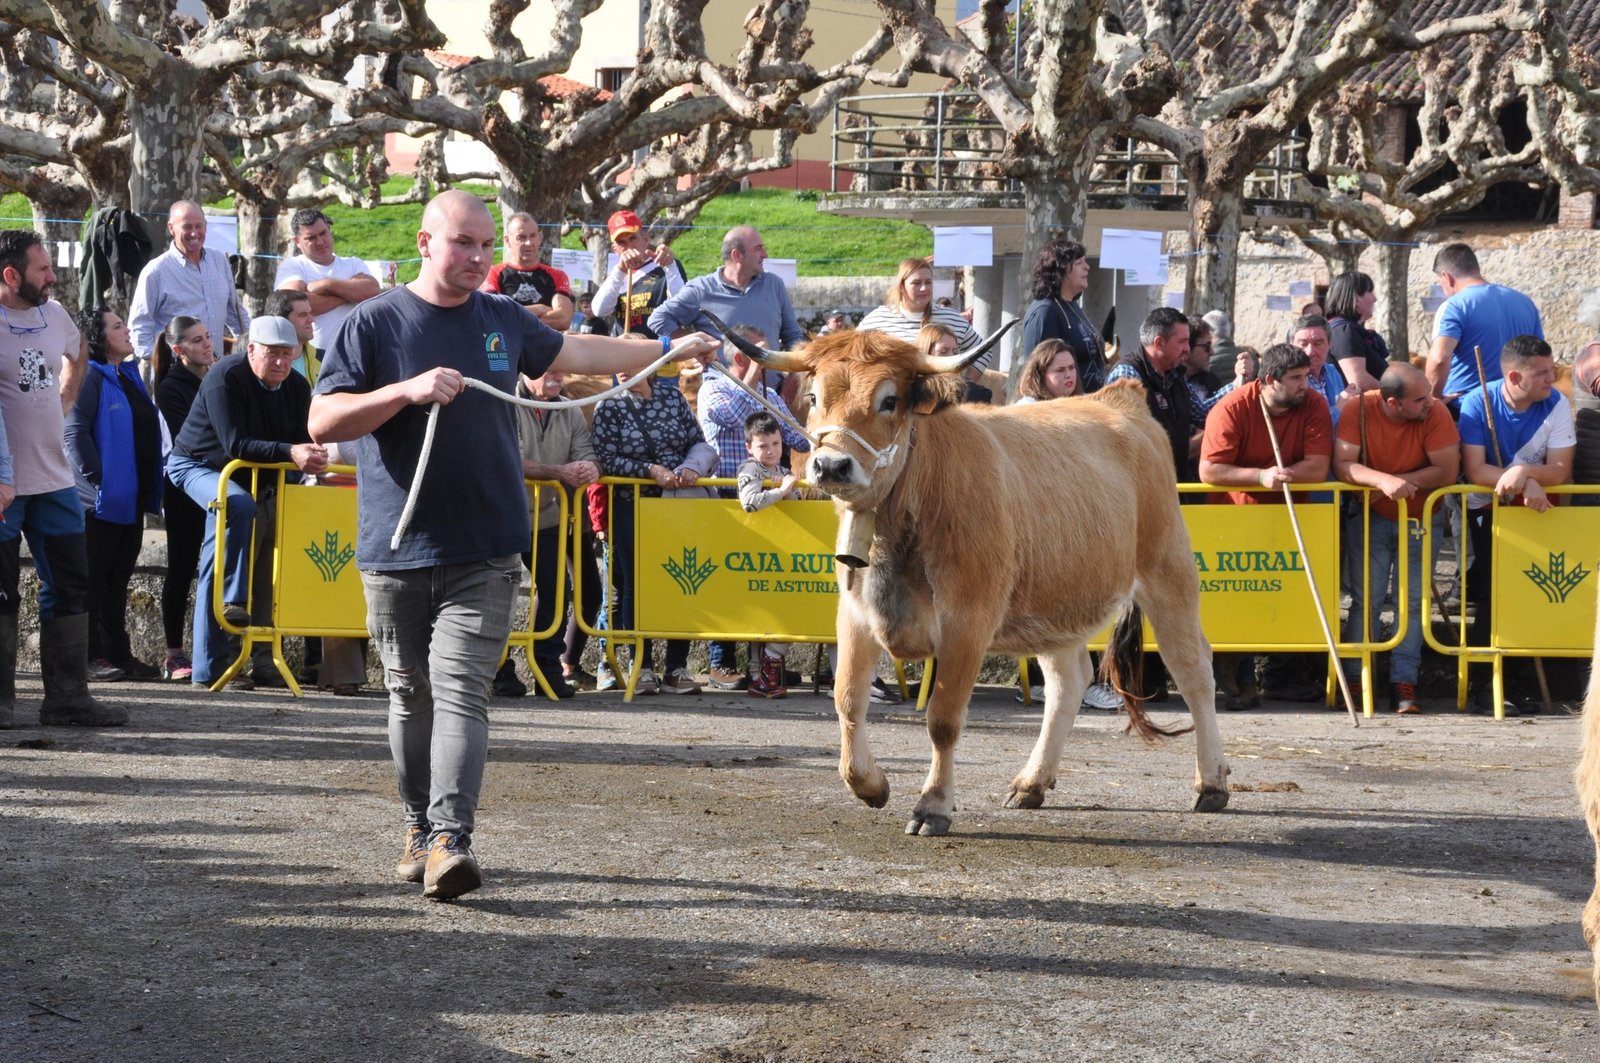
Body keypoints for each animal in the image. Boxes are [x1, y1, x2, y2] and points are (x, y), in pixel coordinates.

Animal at [720, 320, 1228, 832]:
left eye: (889, 400)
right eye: (814, 396)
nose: (831, 466)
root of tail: (1119, 398)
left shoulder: (968, 620)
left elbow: (943, 719)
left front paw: (933, 804)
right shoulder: (856, 615)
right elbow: (846, 700)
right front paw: (870, 784)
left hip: (1168, 573)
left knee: (1194, 670)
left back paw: (1212, 783)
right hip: (1057, 603)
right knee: (1069, 681)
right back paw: (1032, 783)